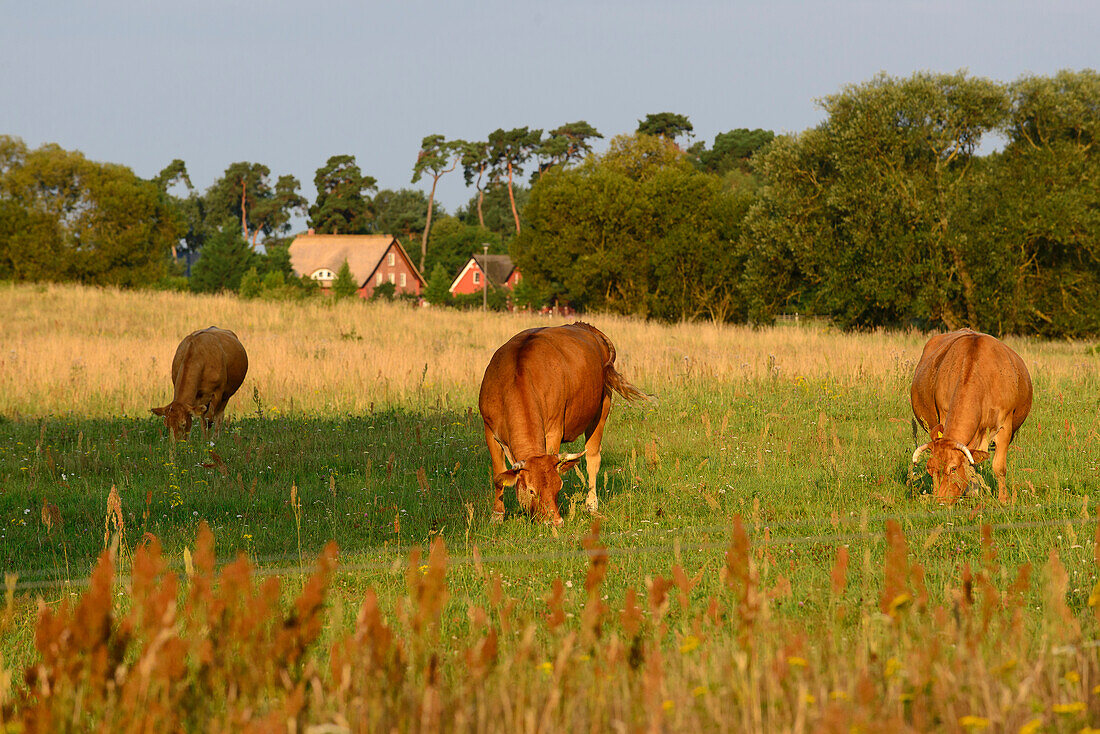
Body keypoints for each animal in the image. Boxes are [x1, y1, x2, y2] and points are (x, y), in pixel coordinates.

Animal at [479, 323, 646, 526]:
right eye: (531, 490)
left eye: (558, 486)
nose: (555, 522)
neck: (514, 379)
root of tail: (585, 326)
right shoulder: (489, 430)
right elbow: (498, 475)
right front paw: (497, 515)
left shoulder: (554, 430)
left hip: (602, 408)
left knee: (593, 458)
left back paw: (591, 504)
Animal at [910, 330, 1029, 501]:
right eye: (929, 469)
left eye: (953, 468)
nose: (940, 501)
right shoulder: (944, 414)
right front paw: (972, 491)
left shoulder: (1005, 425)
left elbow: (999, 467)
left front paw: (1003, 499)